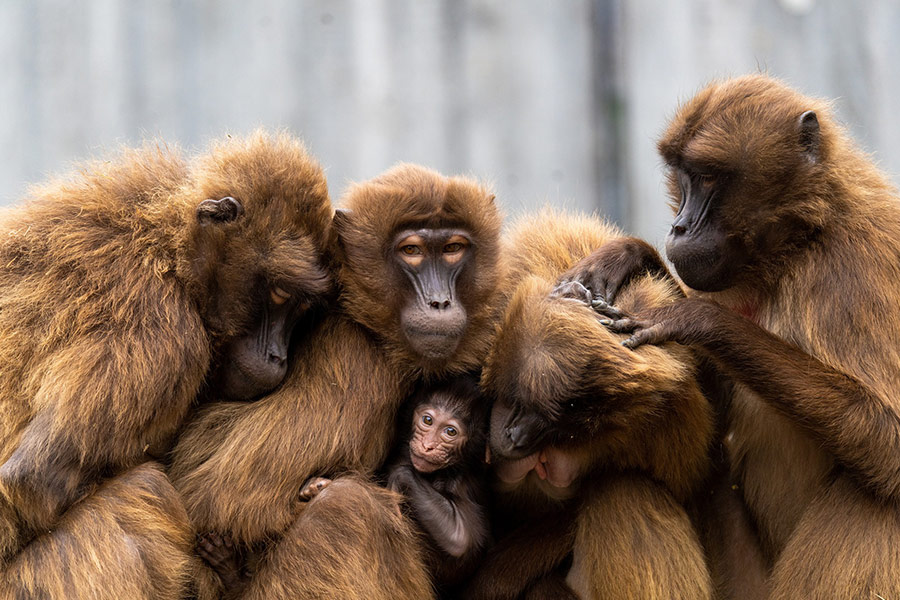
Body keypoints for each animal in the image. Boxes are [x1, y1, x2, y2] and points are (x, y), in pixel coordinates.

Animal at [0, 131, 335, 599]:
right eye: (281, 294)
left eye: (301, 306)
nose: (277, 356)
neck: (168, 251)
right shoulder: (165, 338)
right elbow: (31, 479)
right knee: (147, 488)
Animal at [384, 376, 490, 596]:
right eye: (427, 420)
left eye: (450, 431)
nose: (428, 446)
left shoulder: (461, 481)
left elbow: (460, 539)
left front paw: (399, 476)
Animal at [567, 74, 900, 599]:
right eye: (683, 176)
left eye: (707, 178)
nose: (679, 227)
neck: (801, 243)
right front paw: (629, 256)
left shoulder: (860, 268)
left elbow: (890, 441)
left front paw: (696, 318)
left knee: (873, 488)